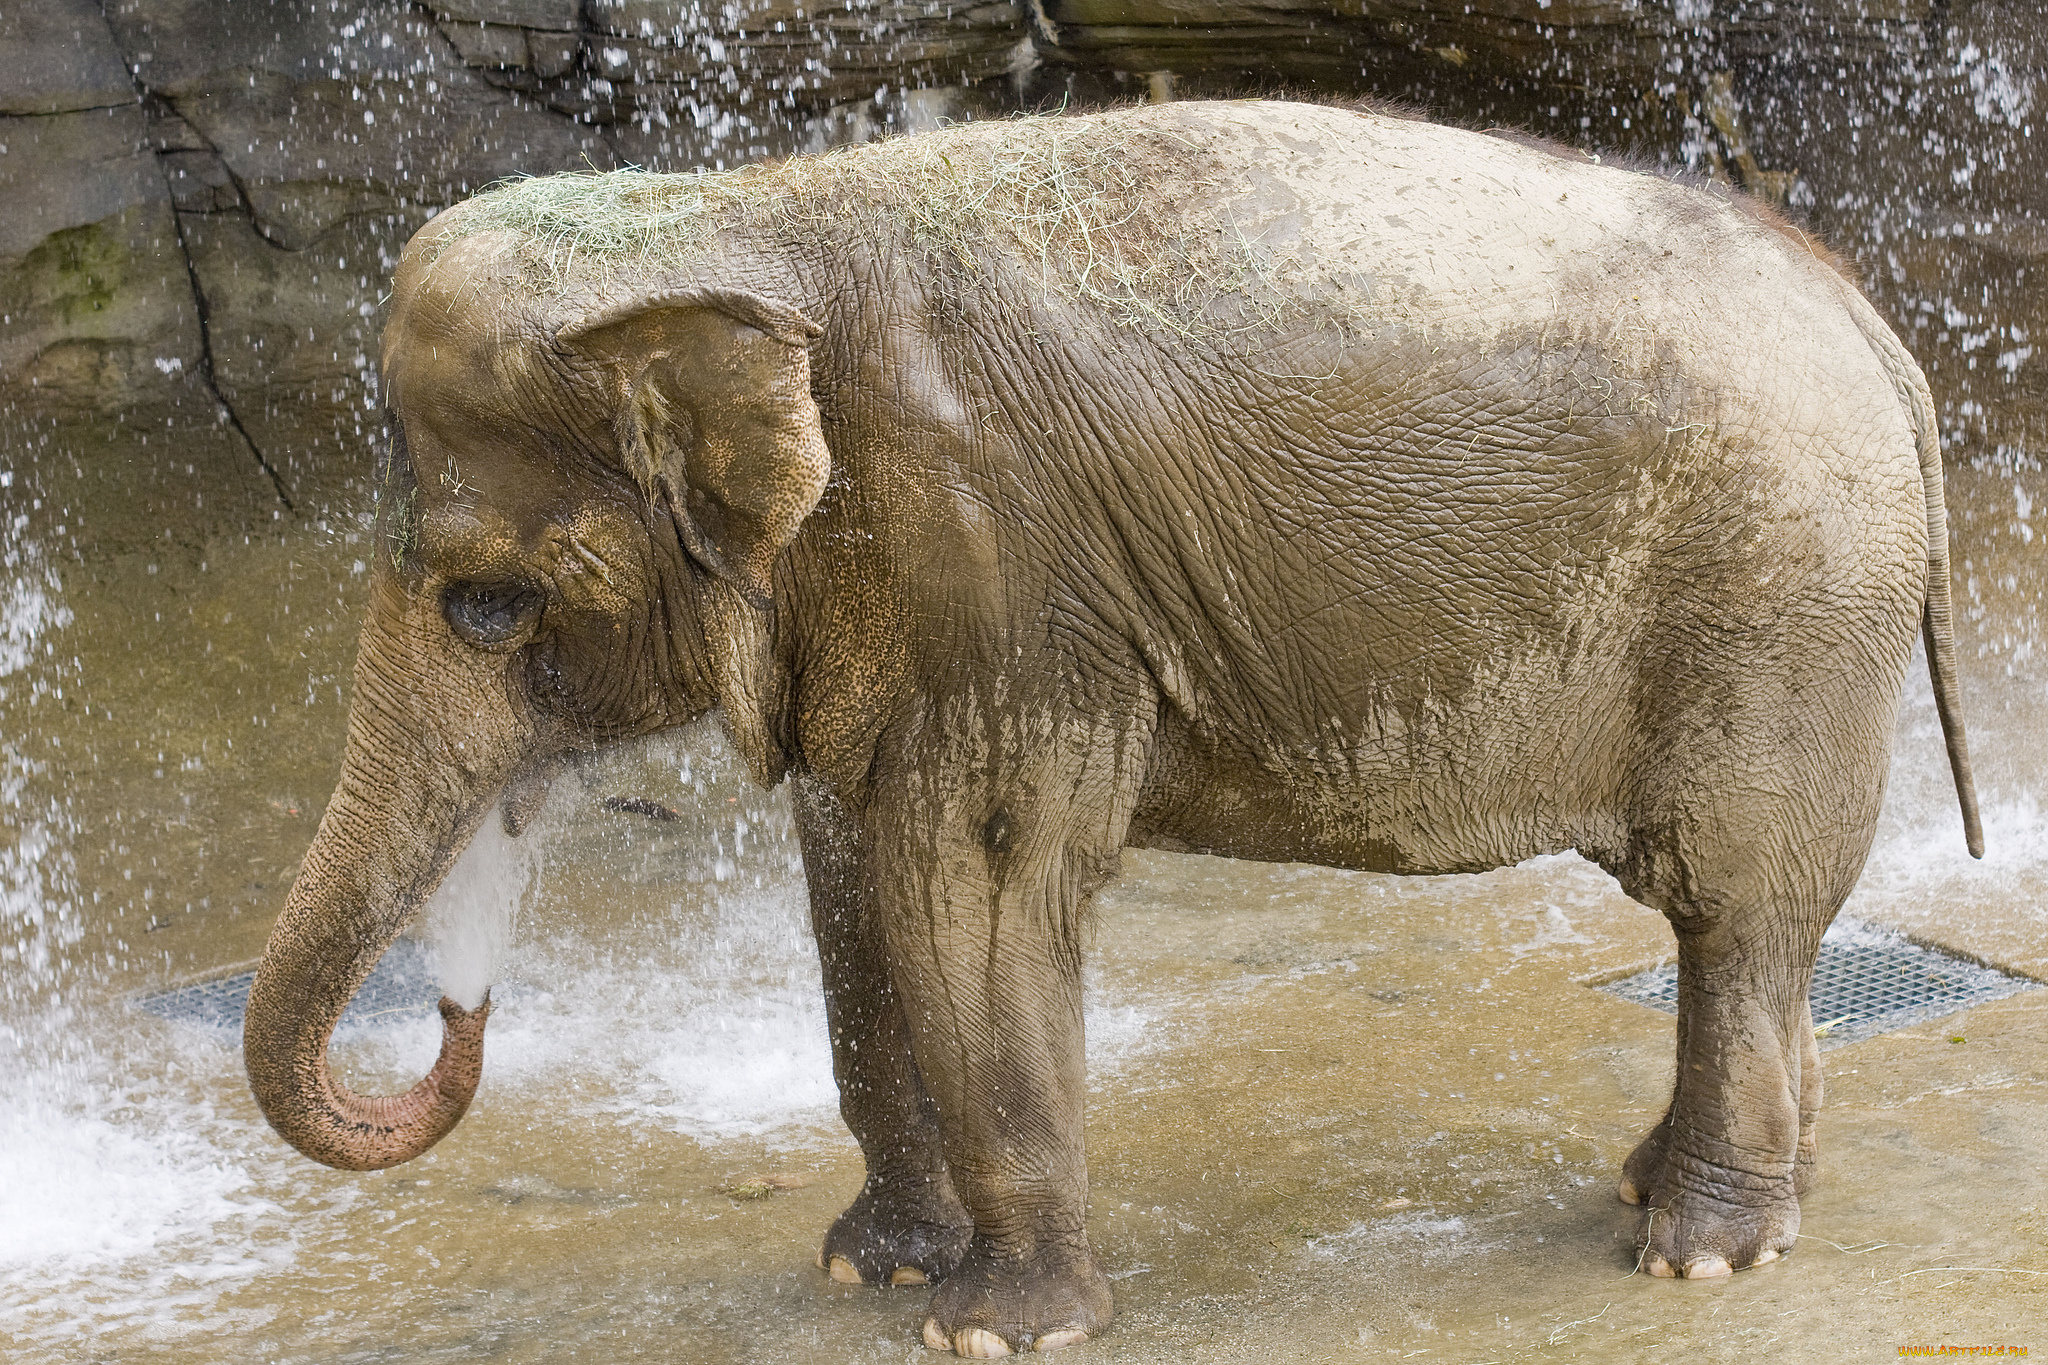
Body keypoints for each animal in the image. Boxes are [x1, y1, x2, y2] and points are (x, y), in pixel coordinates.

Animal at [243, 98, 1982, 1358]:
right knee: (1748, 924)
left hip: (1779, 600)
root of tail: (1875, 324)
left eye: (486, 607)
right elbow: (856, 874)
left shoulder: (996, 558)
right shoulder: (903, 592)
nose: (456, 1010)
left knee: (1733, 902)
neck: (735, 215)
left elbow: (974, 880)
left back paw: (1702, 1250)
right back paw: (1699, 1191)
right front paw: (874, 1272)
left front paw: (994, 1334)